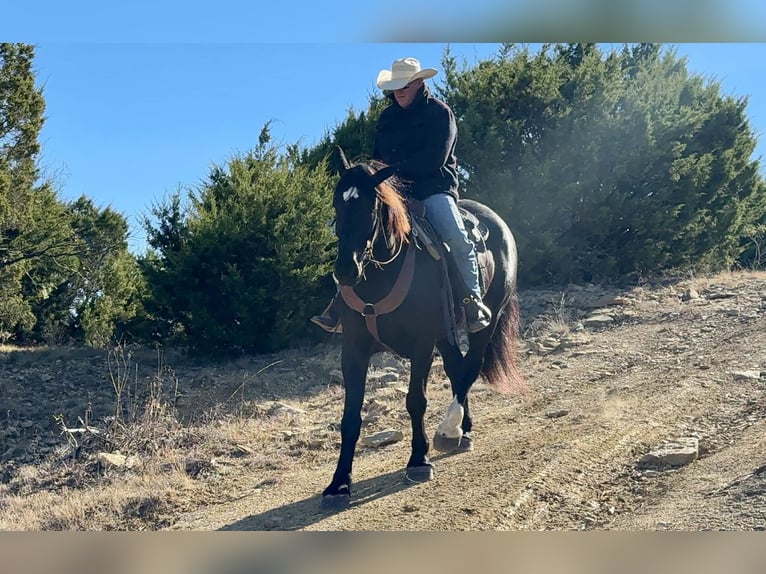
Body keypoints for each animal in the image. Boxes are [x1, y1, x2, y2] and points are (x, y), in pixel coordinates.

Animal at [321, 146, 526, 510]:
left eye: (371, 207)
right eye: (337, 204)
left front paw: (418, 461)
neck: (380, 278)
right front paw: (339, 484)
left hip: (484, 322)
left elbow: (415, 401)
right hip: (446, 334)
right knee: (457, 369)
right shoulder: (354, 350)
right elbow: (350, 417)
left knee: (470, 367)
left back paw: (449, 431)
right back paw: (464, 430)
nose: (346, 270)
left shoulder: (421, 344)